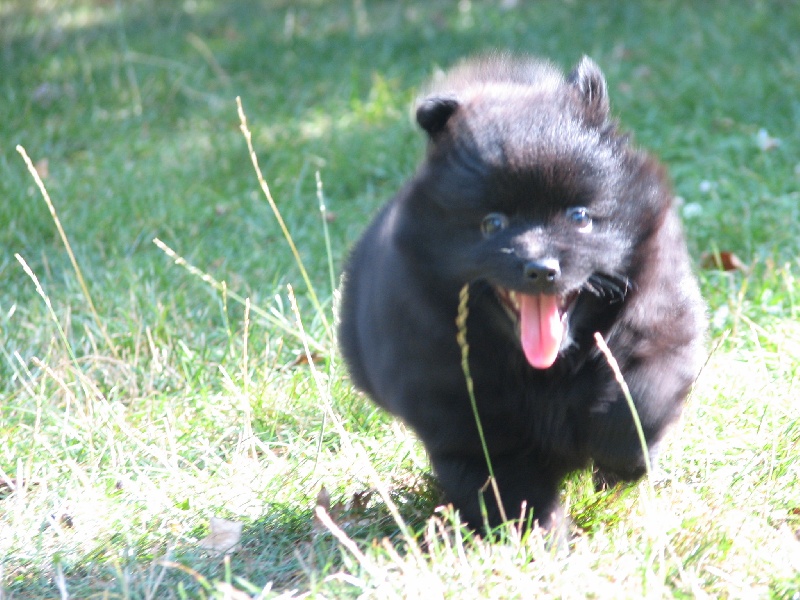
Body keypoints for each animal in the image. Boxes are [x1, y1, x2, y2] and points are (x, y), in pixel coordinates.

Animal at [338, 54, 708, 528]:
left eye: (579, 217)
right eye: (493, 224)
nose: (541, 269)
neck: (544, 370)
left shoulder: (657, 320)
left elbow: (639, 394)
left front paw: (620, 460)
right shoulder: (462, 407)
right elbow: (505, 480)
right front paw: (540, 535)